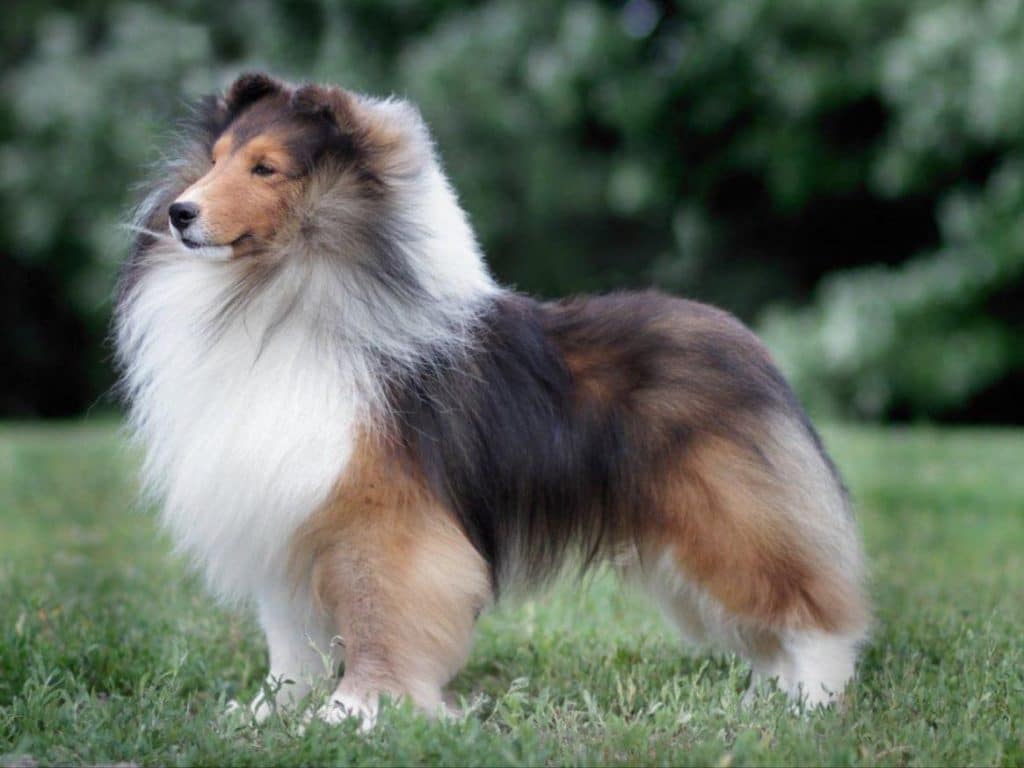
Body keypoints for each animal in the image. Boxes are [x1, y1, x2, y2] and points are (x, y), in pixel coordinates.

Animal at [116, 72, 868, 729]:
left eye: (266, 169)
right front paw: (271, 713)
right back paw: (771, 699)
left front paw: (357, 712)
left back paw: (816, 702)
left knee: (816, 611)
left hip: (729, 524)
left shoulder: (379, 522)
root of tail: (752, 346)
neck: (279, 295)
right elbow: (291, 643)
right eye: (215, 160)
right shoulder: (287, 515)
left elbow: (376, 615)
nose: (181, 214)